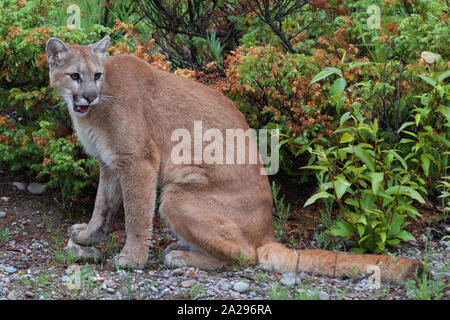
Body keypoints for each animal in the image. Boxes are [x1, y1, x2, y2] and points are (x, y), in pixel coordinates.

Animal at [45, 35, 422, 282]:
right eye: (75, 76)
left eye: (97, 76)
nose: (89, 96)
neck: (94, 111)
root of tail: (268, 232)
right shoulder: (109, 162)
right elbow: (103, 204)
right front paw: (88, 236)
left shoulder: (138, 161)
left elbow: (136, 215)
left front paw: (131, 259)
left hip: (178, 195)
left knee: (246, 256)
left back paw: (180, 256)